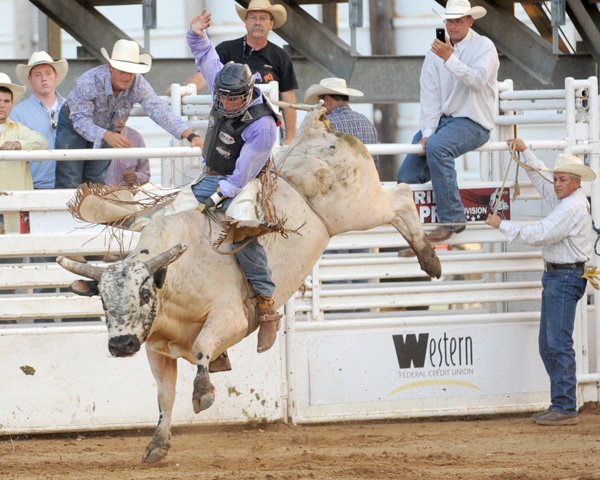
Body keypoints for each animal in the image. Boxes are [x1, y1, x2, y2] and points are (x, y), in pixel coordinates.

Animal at [57, 108, 440, 462]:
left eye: (145, 293)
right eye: (103, 301)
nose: (121, 345)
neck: (179, 276)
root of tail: (316, 128)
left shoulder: (231, 318)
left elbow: (202, 348)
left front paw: (203, 392)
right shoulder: (156, 347)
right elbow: (164, 395)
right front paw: (158, 444)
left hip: (359, 208)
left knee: (401, 197)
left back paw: (428, 258)